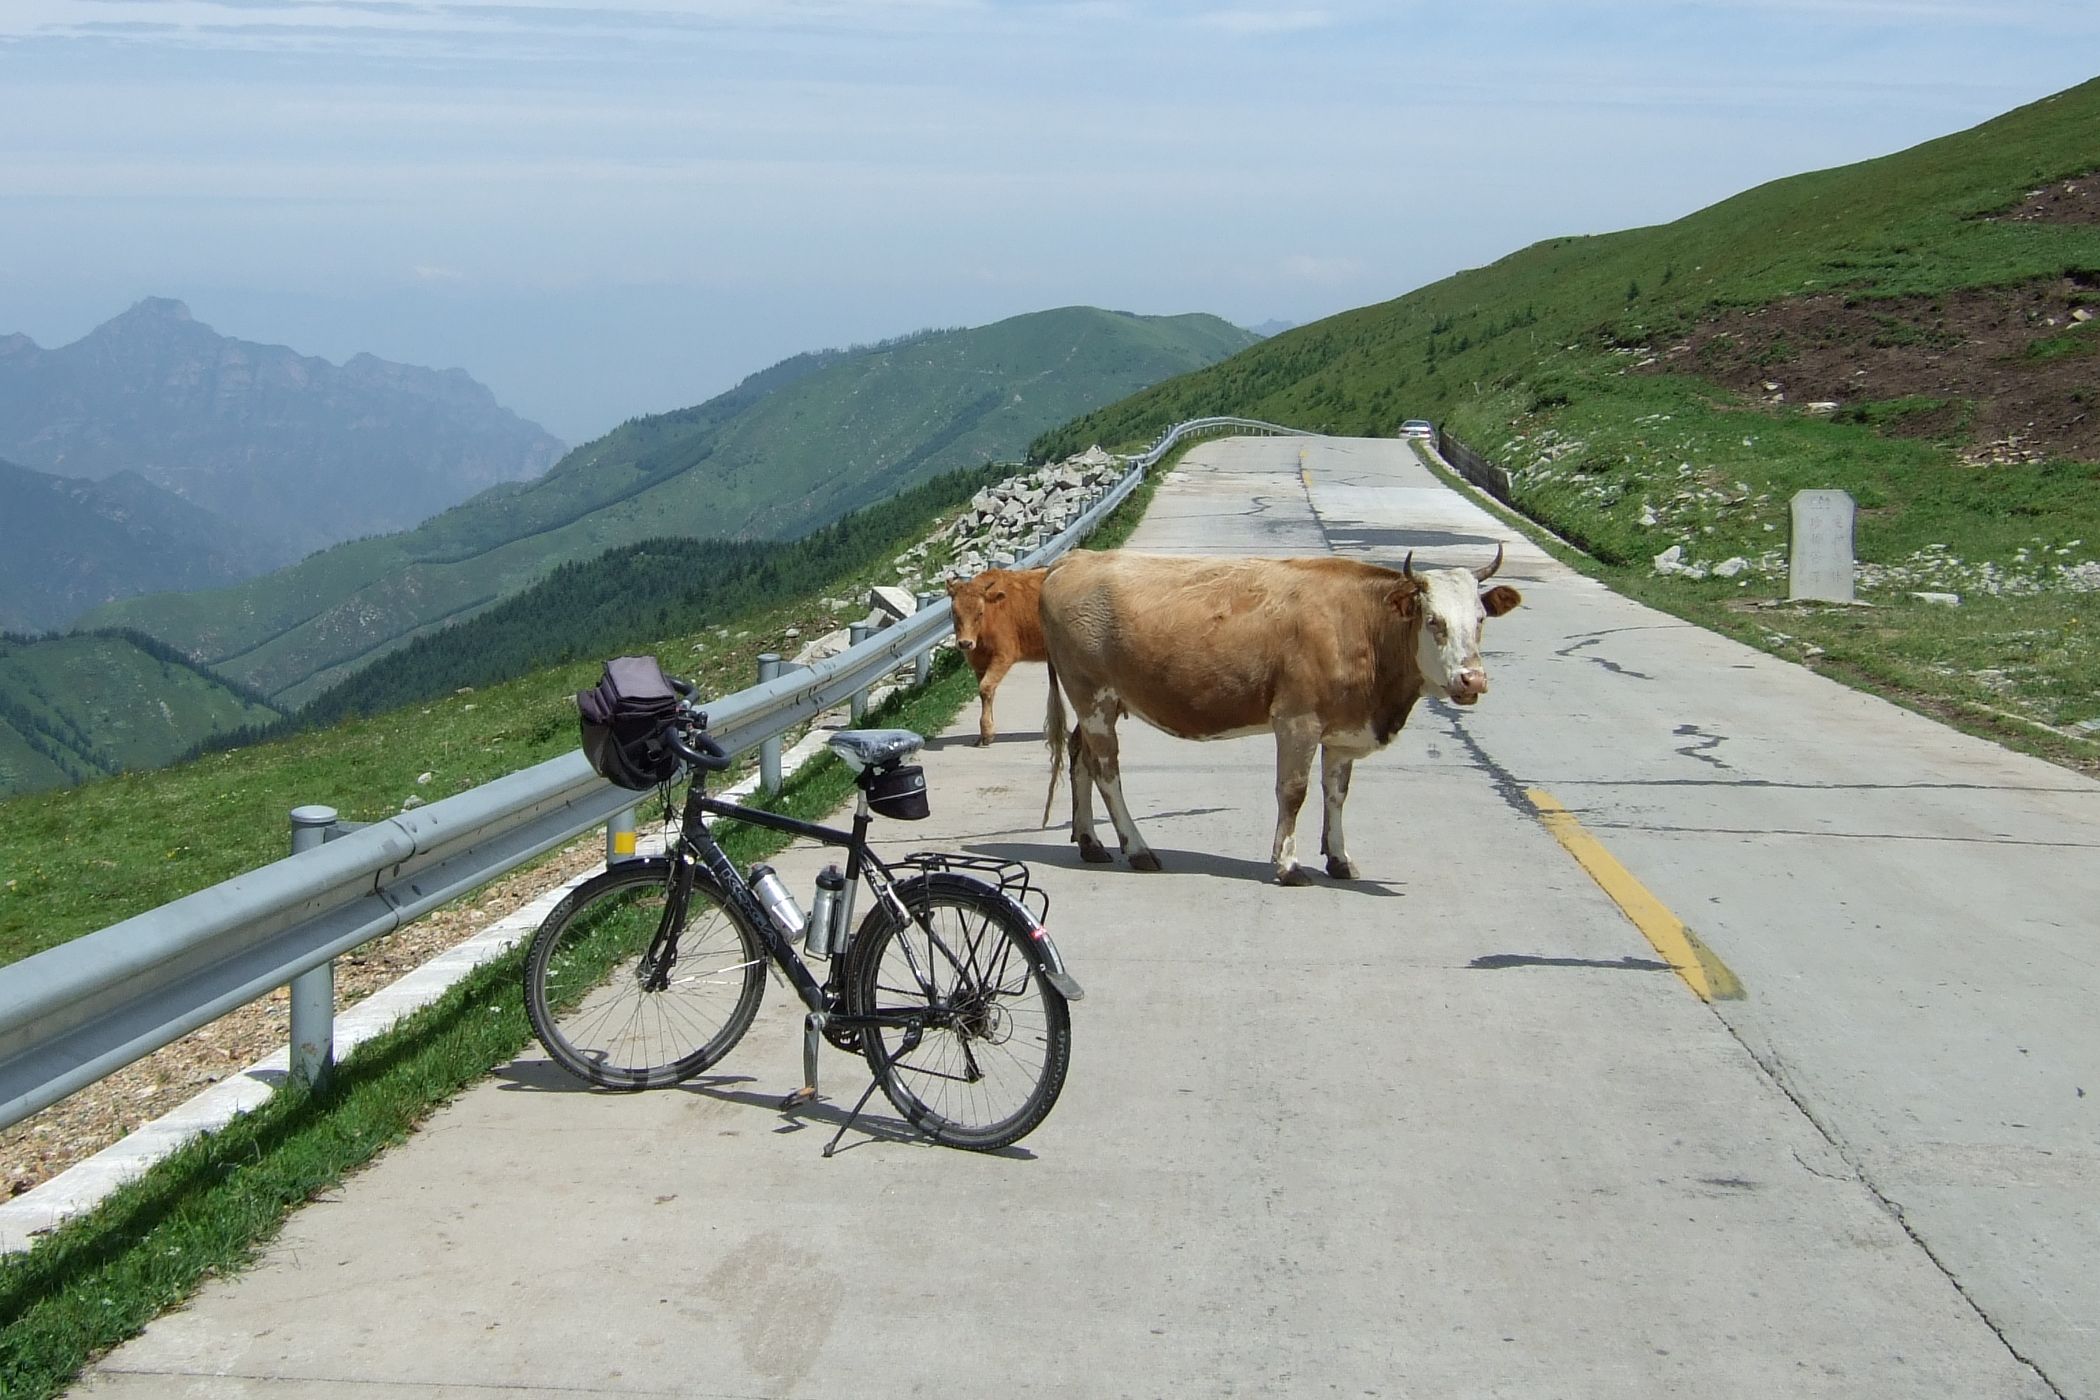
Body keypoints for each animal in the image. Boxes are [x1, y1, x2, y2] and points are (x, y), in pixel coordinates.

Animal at [946, 567, 1050, 747]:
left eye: (980, 613)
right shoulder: (979, 663)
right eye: (954, 612)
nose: (965, 643)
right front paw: (985, 733)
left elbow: (986, 688)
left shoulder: (1003, 655)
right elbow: (987, 693)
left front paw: (987, 731)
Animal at [1040, 546, 1521, 885]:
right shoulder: (1296, 720)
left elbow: (1336, 794)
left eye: (1480, 619)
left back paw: (1091, 842)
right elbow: (1293, 792)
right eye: (1434, 620)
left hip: (1099, 703)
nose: (1472, 679)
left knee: (1081, 755)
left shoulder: (1342, 729)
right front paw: (1288, 864)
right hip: (1092, 695)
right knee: (1106, 769)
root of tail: (1076, 558)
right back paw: (1137, 849)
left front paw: (1340, 858)